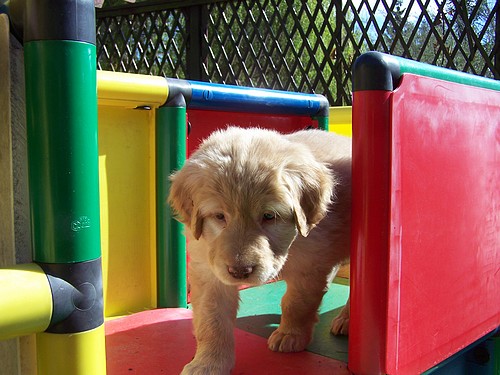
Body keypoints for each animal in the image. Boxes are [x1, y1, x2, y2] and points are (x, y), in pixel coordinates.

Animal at [170, 128, 350, 374]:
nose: (240, 272)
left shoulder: (309, 264)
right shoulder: (209, 270)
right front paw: (208, 363)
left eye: (269, 216)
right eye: (219, 216)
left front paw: (290, 334)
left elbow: (297, 302)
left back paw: (346, 320)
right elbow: (212, 320)